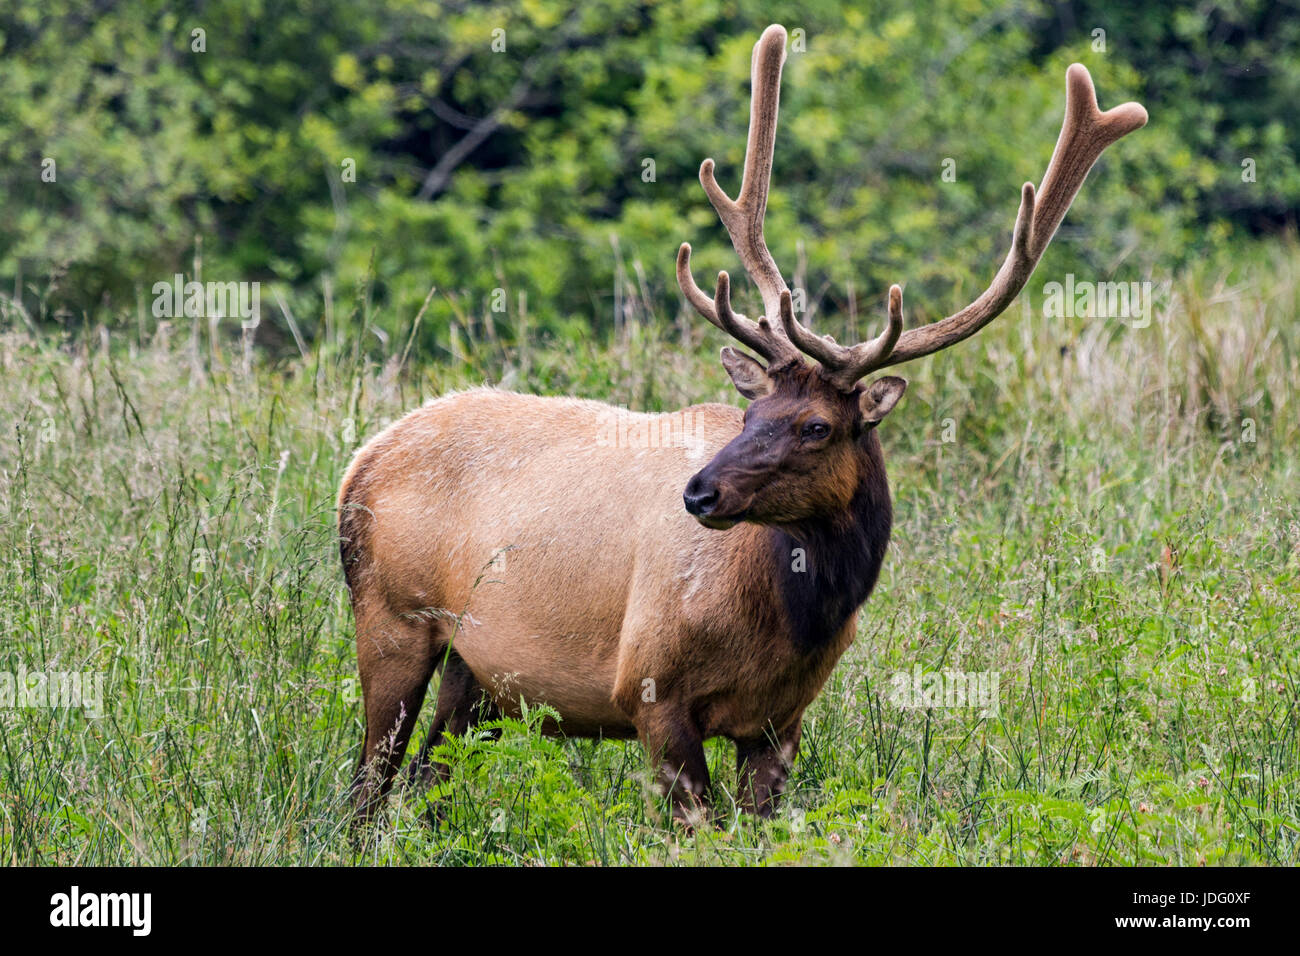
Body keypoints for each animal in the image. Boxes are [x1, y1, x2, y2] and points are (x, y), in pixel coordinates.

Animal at [340, 26, 1144, 827]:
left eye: (817, 427)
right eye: (752, 413)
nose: (699, 494)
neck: (788, 621)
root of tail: (361, 459)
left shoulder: (781, 721)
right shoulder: (650, 689)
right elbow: (694, 828)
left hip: (476, 674)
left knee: (425, 778)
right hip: (393, 619)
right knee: (366, 784)